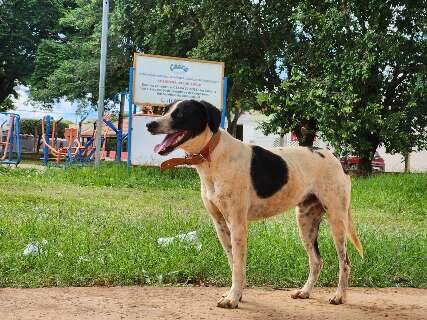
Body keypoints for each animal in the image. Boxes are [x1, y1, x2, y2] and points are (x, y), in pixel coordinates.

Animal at [148, 100, 364, 310]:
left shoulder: (237, 224)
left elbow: (238, 266)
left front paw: (233, 299)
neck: (212, 156)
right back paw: (305, 291)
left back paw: (339, 296)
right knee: (317, 261)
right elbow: (233, 262)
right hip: (305, 222)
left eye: (181, 114)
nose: (150, 124)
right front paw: (236, 294)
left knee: (345, 262)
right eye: (165, 110)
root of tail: (337, 160)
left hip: (337, 219)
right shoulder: (220, 224)